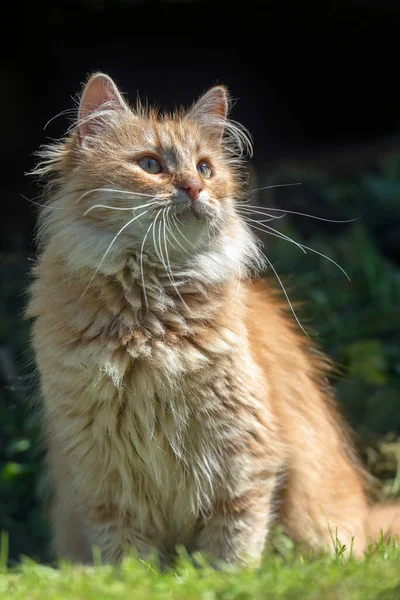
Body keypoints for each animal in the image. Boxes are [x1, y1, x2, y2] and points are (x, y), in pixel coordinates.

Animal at [26, 72, 400, 564]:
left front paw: (229, 575)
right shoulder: (100, 474)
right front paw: (136, 577)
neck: (150, 324)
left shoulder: (244, 455)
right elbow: (126, 554)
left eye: (204, 169)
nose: (193, 188)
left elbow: (234, 541)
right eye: (150, 164)